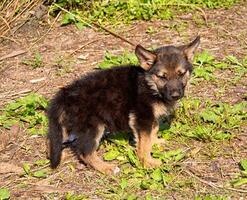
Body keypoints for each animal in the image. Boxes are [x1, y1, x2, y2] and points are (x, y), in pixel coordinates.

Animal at [46, 36, 201, 174]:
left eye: (181, 74)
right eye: (162, 77)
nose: (175, 95)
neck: (150, 85)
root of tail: (65, 93)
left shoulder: (148, 117)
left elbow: (153, 130)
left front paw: (155, 142)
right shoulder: (142, 117)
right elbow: (144, 143)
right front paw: (147, 162)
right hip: (93, 127)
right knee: (85, 152)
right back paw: (106, 168)